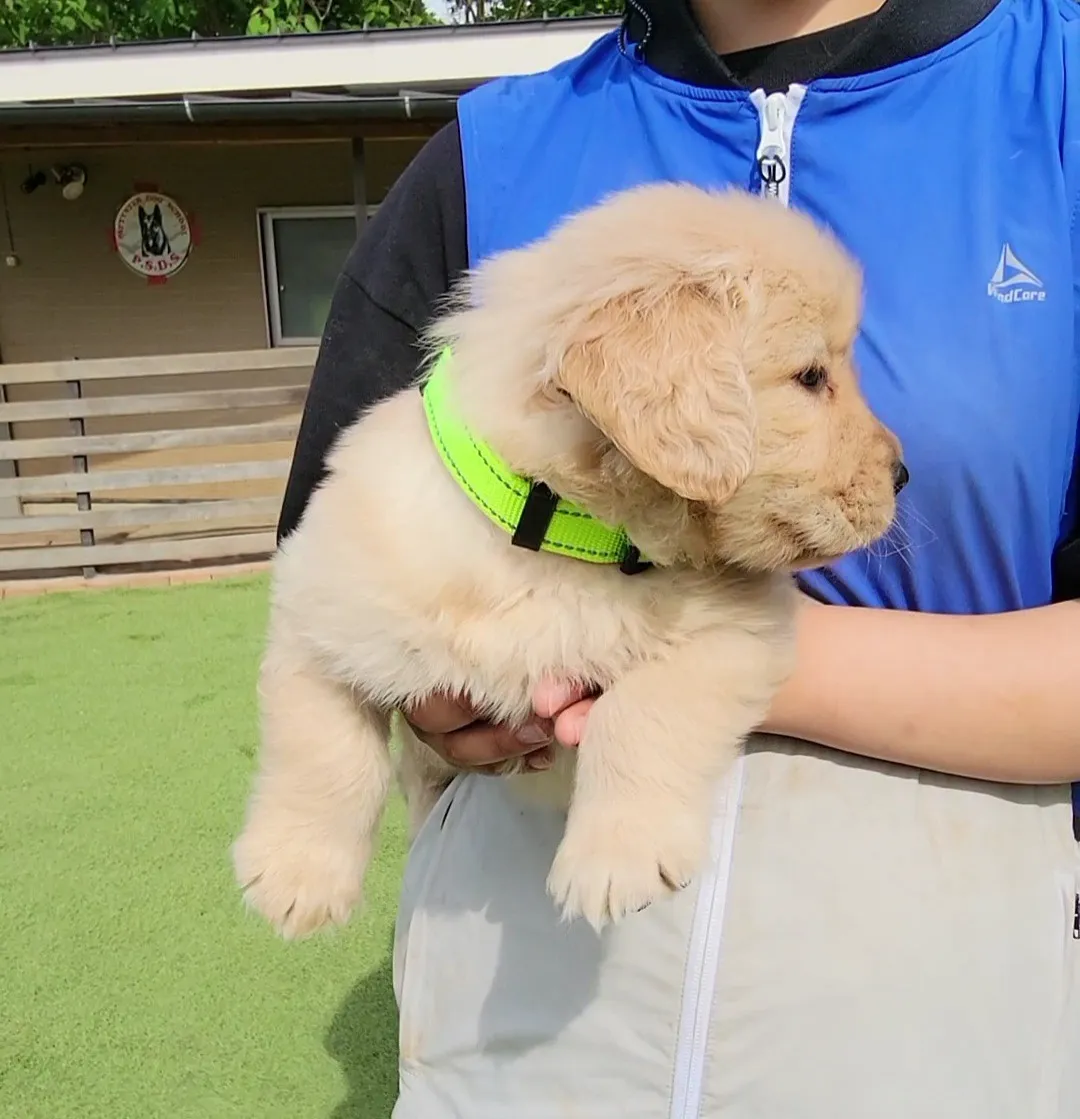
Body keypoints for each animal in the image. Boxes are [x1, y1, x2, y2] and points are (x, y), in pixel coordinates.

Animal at [233, 181, 899, 935]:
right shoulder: (317, 606)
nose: (903, 474)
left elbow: (642, 711)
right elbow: (321, 747)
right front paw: (296, 876)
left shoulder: (739, 628)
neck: (561, 534)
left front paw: (616, 858)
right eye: (812, 376)